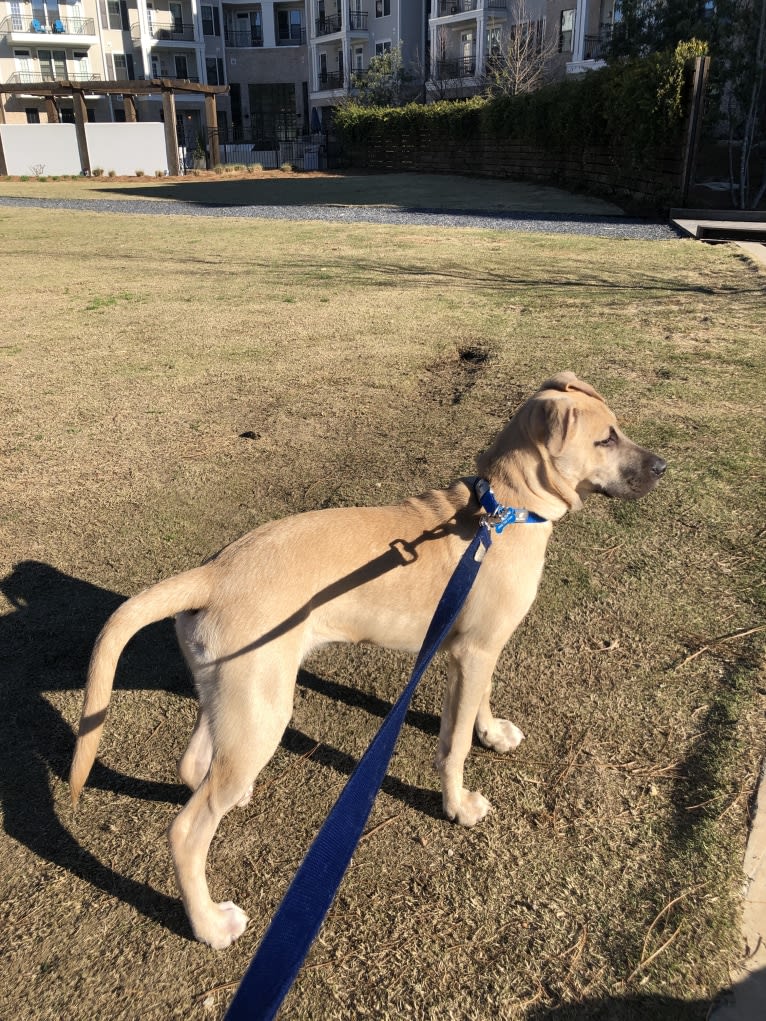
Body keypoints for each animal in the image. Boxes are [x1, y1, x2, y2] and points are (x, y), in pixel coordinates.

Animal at [68, 373, 665, 947]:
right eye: (605, 438)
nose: (663, 467)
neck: (504, 511)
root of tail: (212, 573)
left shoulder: (481, 650)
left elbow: (482, 704)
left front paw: (493, 733)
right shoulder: (472, 654)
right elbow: (453, 746)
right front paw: (458, 805)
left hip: (235, 694)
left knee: (194, 765)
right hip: (264, 712)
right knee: (185, 832)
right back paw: (210, 925)